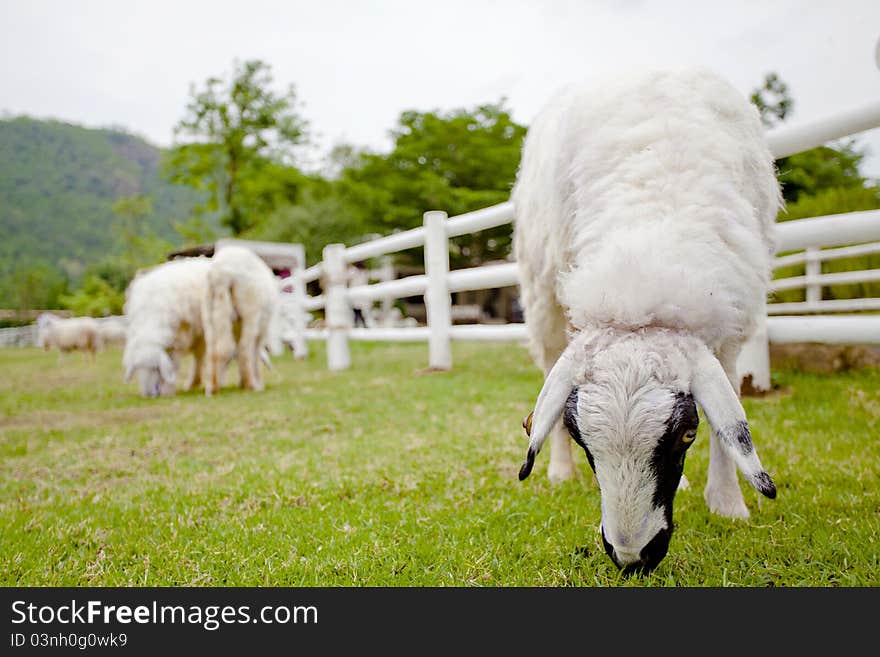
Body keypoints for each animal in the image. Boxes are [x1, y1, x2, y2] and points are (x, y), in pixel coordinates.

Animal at [122, 256, 211, 398]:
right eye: (137, 368)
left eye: (155, 368)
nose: (148, 394)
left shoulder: (177, 340)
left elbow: (172, 365)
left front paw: (167, 390)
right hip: (199, 334)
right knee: (199, 356)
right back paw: (193, 383)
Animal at [201, 242, 280, 392]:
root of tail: (220, 273)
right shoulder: (261, 329)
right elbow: (255, 352)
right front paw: (256, 381)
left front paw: (241, 382)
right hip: (250, 310)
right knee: (244, 347)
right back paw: (252, 384)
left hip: (210, 310)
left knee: (213, 349)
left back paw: (212, 386)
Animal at [512, 69, 780, 572]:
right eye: (579, 435)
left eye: (688, 433)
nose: (632, 557)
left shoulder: (731, 323)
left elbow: (728, 416)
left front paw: (728, 504)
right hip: (542, 293)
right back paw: (559, 471)